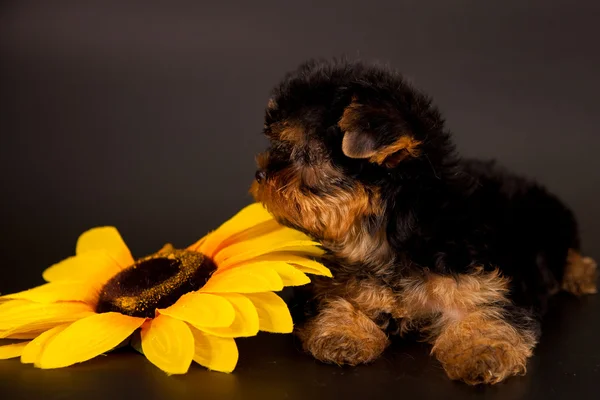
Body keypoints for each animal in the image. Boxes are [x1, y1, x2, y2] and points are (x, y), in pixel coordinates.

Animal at [250, 58, 596, 384]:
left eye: (304, 154)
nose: (260, 174)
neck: (385, 234)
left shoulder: (481, 280)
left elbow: (491, 311)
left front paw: (482, 352)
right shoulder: (333, 280)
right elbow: (333, 297)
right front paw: (341, 333)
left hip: (551, 222)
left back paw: (580, 274)